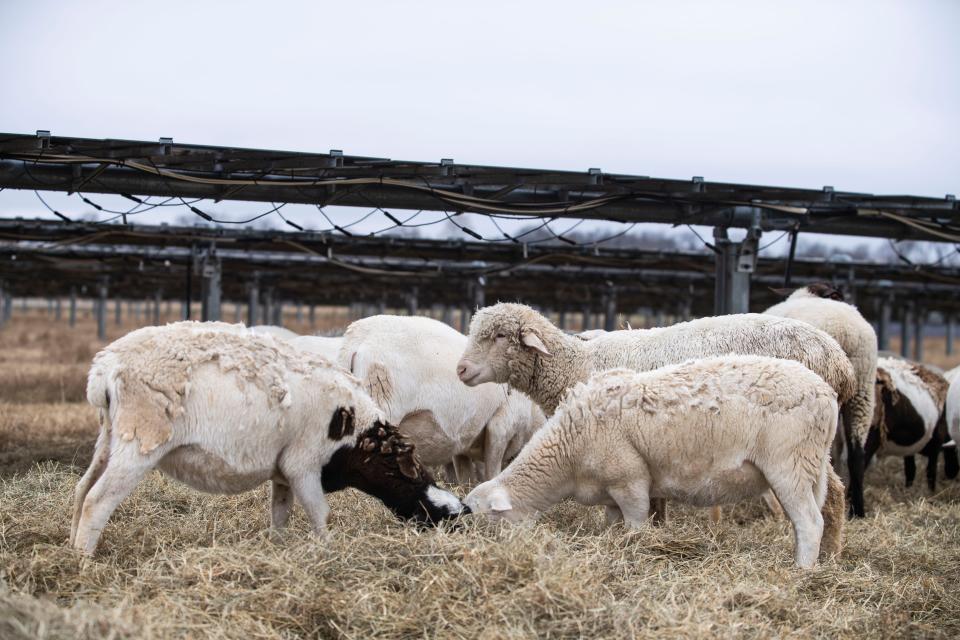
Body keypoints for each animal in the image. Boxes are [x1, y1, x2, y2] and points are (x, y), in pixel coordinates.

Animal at [74, 320, 464, 556]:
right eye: (440, 514)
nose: (459, 535)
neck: (357, 438)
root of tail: (104, 369)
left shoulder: (283, 473)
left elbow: (280, 514)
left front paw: (278, 548)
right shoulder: (303, 465)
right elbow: (320, 514)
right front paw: (328, 549)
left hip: (109, 438)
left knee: (81, 489)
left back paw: (72, 548)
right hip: (140, 441)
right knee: (97, 500)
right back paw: (85, 559)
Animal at [342, 312, 544, 482]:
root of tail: (357, 339)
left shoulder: (462, 441)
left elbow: (465, 476)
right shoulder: (502, 424)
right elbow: (492, 471)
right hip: (384, 407)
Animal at [464, 356, 840, 568]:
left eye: (484, 519)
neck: (567, 454)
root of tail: (826, 394)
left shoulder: (629, 480)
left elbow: (636, 527)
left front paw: (637, 550)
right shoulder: (610, 492)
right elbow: (612, 527)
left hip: (790, 464)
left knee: (810, 523)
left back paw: (801, 571)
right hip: (810, 467)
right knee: (807, 520)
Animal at [872, 356, 952, 490]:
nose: (951, 475)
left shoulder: (910, 447)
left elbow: (910, 470)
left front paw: (908, 489)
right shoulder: (936, 446)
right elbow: (931, 472)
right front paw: (931, 491)